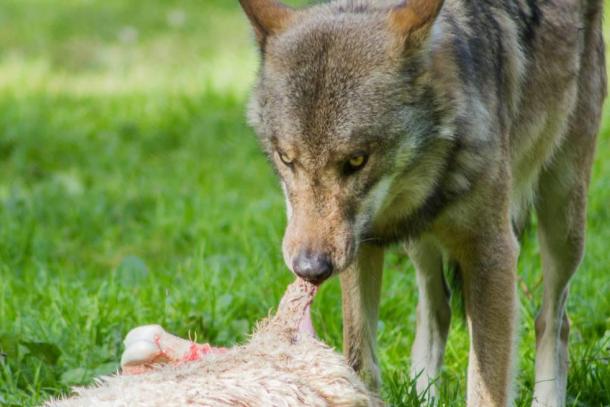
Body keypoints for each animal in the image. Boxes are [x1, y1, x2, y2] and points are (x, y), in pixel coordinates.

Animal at [236, 0, 604, 404]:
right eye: (286, 159)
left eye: (357, 160)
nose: (310, 268)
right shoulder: (362, 249)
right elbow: (360, 360)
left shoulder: (493, 253)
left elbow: (486, 386)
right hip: (420, 242)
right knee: (436, 308)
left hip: (563, 219)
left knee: (553, 320)